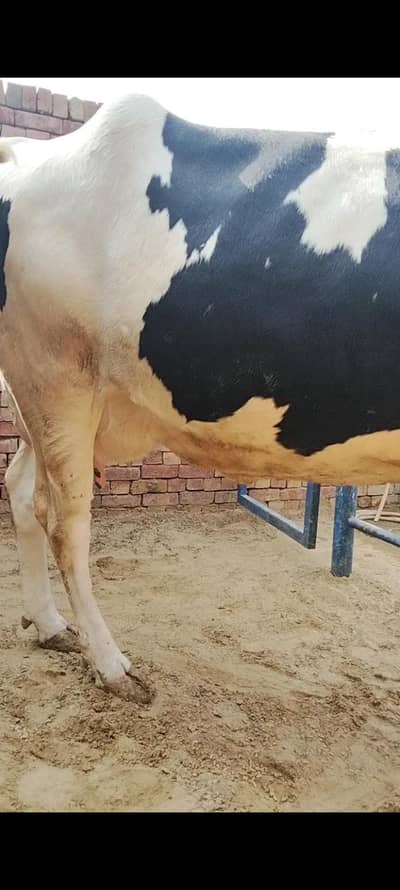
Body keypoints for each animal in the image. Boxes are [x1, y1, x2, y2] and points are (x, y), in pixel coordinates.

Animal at [1, 93, 400, 703]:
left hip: (44, 397)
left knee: (22, 489)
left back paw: (51, 628)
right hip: (58, 377)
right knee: (63, 521)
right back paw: (111, 665)